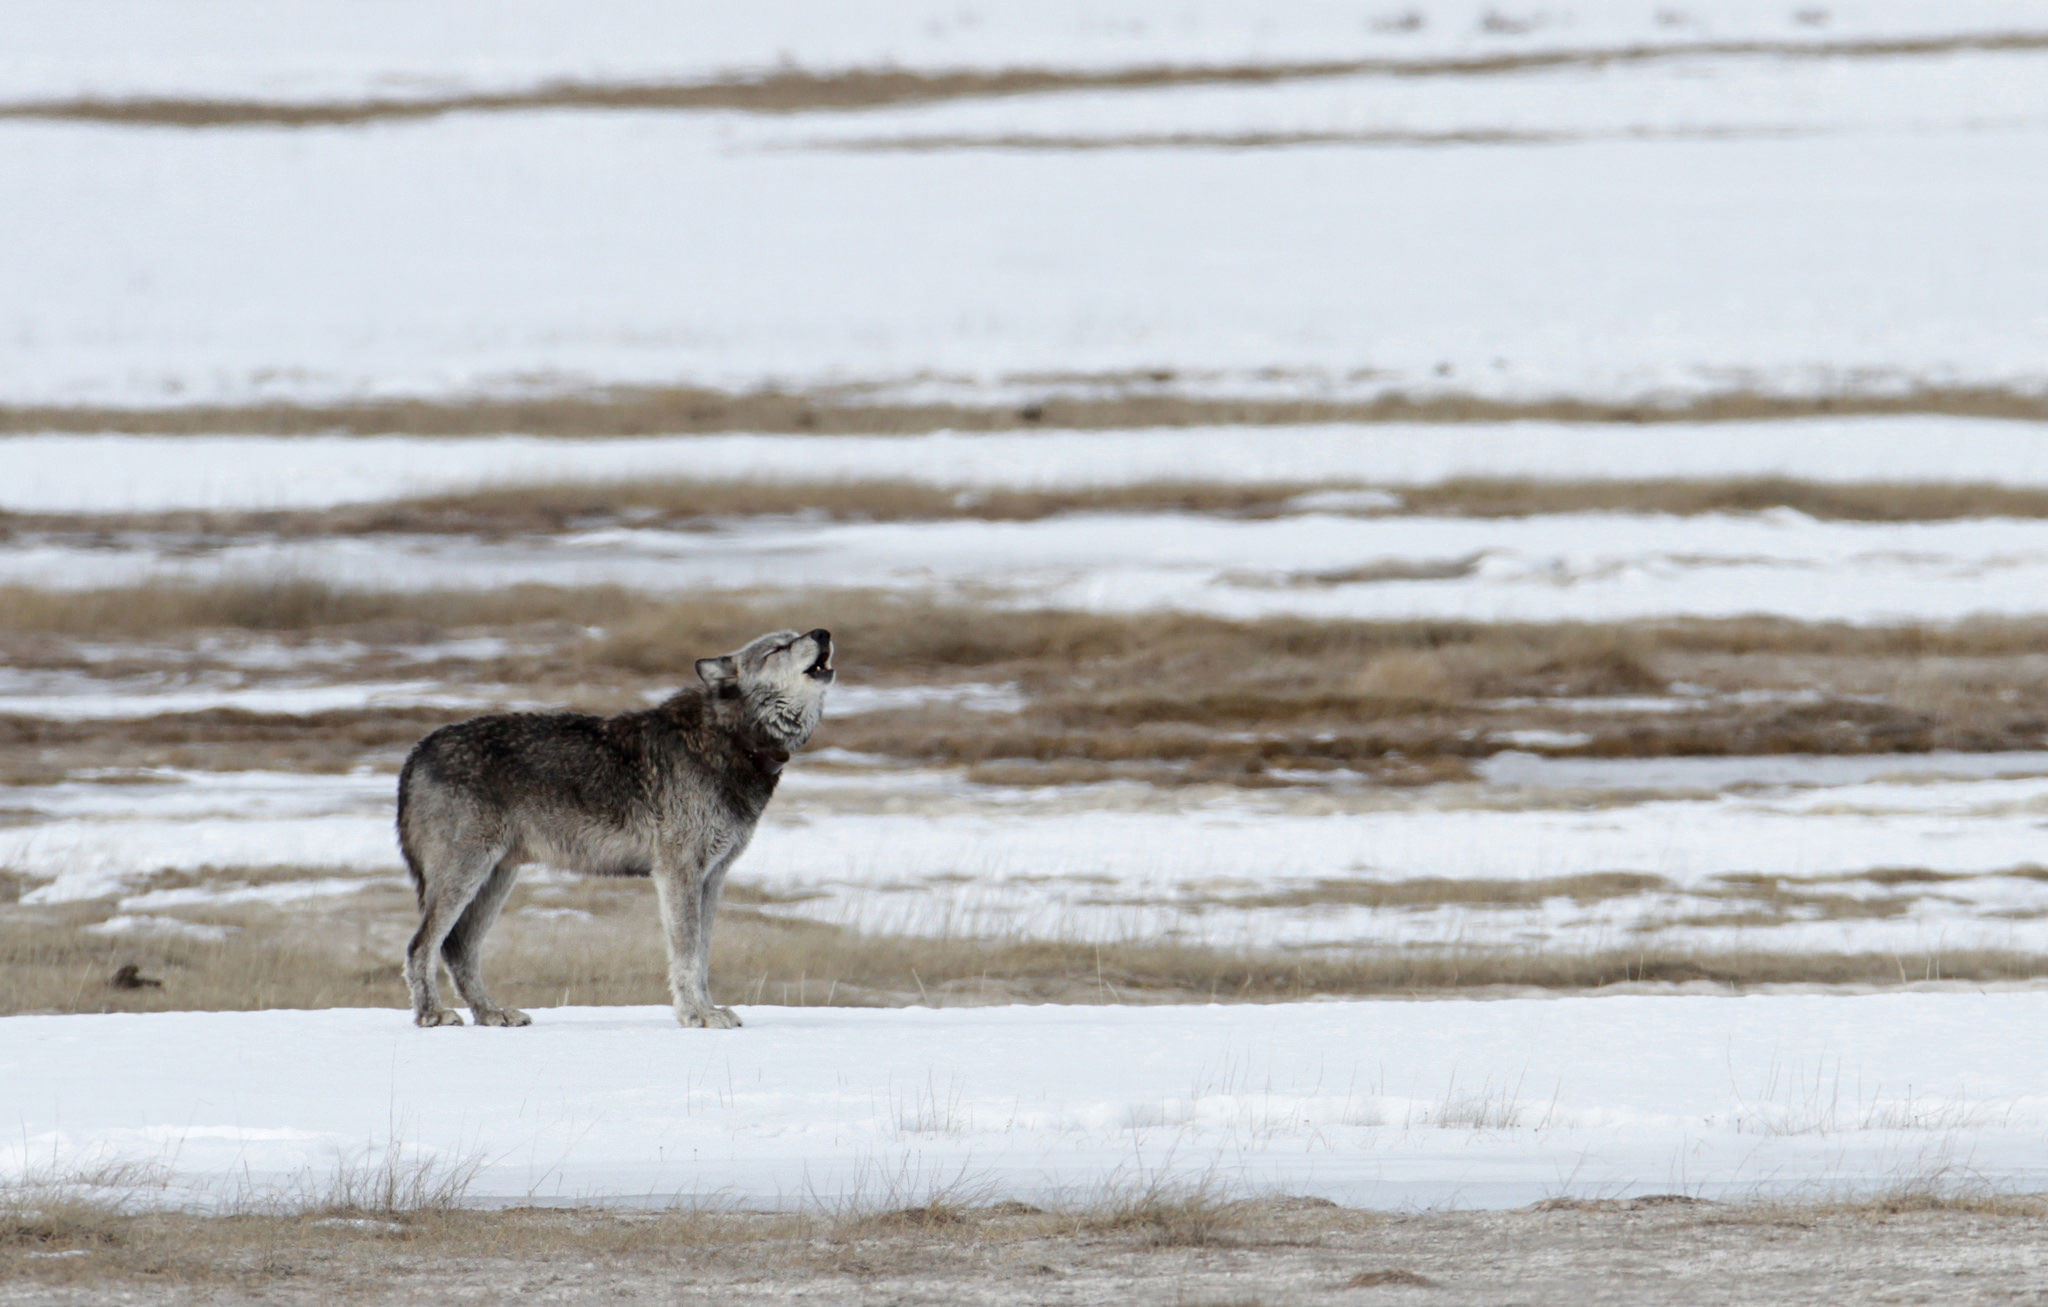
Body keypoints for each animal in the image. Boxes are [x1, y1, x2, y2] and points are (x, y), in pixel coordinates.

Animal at [396, 628, 833, 1029]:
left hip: (496, 880)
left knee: (458, 949)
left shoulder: (713, 877)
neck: (731, 739)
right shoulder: (679, 873)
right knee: (421, 946)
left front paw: (708, 1010)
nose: (822, 633)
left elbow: (703, 955)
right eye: (779, 647)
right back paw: (432, 1015)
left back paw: (491, 1013)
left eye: (797, 634)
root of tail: (417, 750)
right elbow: (687, 955)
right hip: (465, 877)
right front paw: (697, 1016)